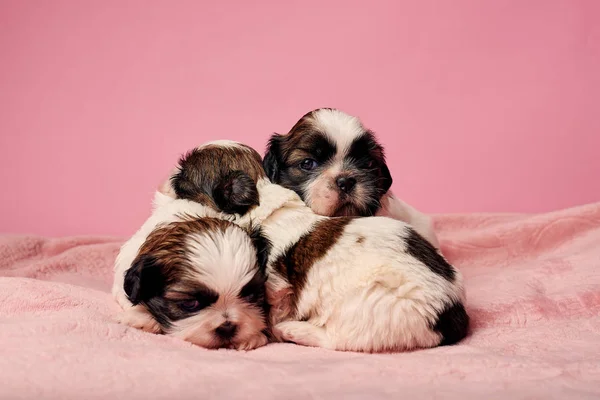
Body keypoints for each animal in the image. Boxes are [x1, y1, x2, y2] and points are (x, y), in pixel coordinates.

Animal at [162, 141, 472, 354]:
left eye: (183, 181)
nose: (167, 180)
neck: (262, 197)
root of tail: (451, 313)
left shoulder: (275, 285)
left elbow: (273, 306)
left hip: (365, 306)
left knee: (336, 339)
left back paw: (293, 330)